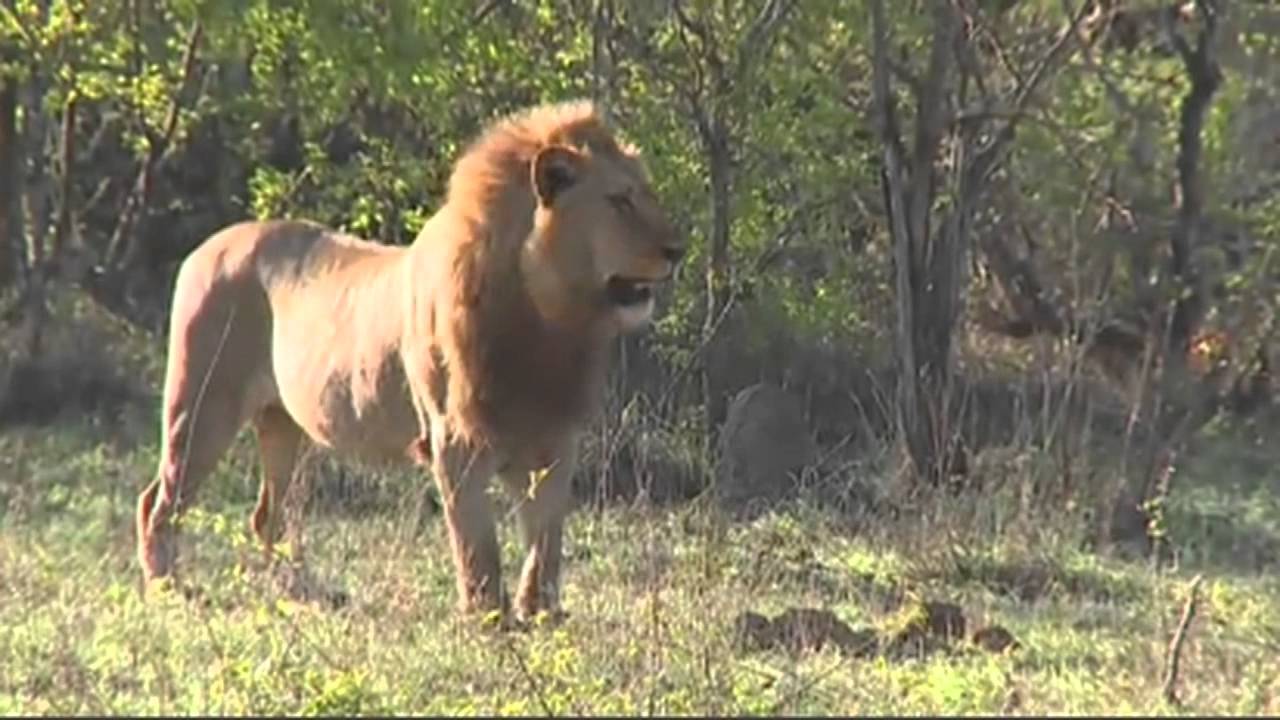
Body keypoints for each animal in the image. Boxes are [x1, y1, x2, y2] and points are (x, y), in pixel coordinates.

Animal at [135, 100, 687, 622]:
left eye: (649, 194)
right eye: (619, 201)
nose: (678, 250)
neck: (549, 322)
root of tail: (208, 245)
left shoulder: (554, 437)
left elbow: (546, 544)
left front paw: (542, 615)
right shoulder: (456, 440)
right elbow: (478, 548)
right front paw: (491, 619)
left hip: (284, 424)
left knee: (267, 514)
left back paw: (304, 595)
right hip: (201, 406)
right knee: (158, 502)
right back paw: (169, 589)